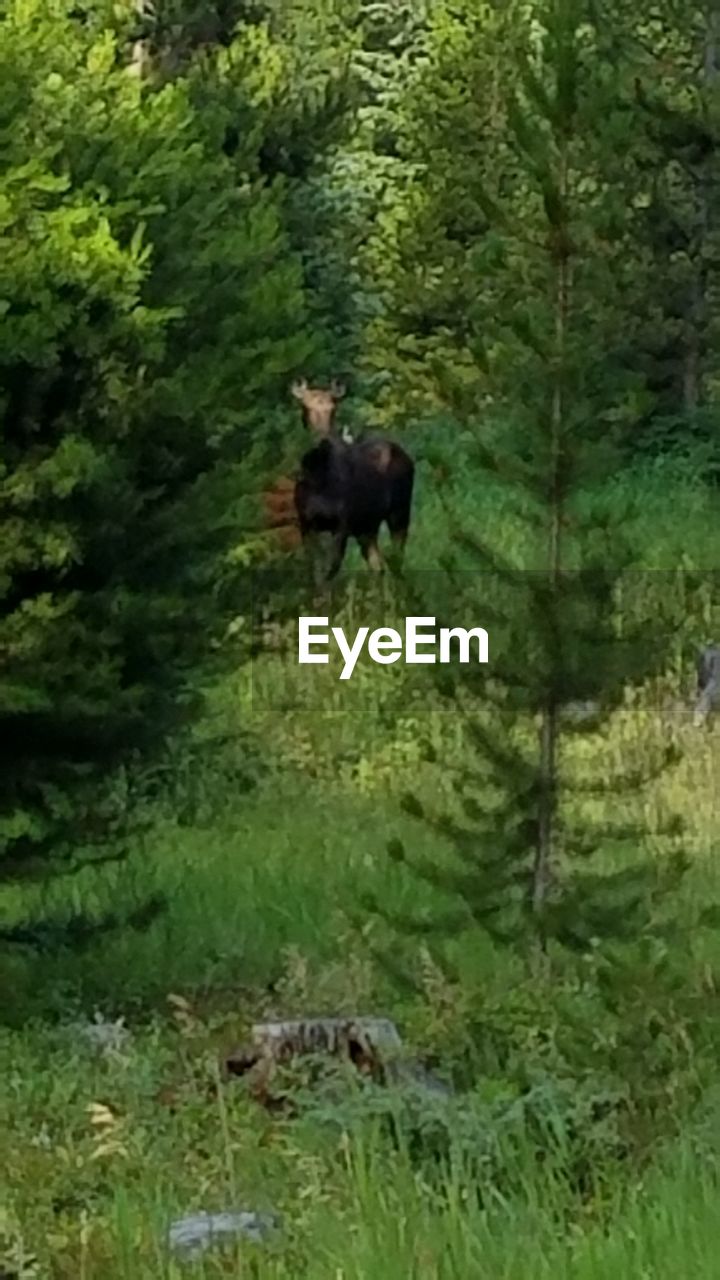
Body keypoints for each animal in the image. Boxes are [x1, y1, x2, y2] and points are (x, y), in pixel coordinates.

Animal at [280, 376, 412, 583]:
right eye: (305, 407)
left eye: (333, 408)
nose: (322, 440)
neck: (318, 478)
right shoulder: (306, 524)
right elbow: (315, 573)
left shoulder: (342, 524)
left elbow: (330, 570)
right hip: (367, 527)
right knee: (378, 565)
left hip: (399, 512)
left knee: (396, 559)